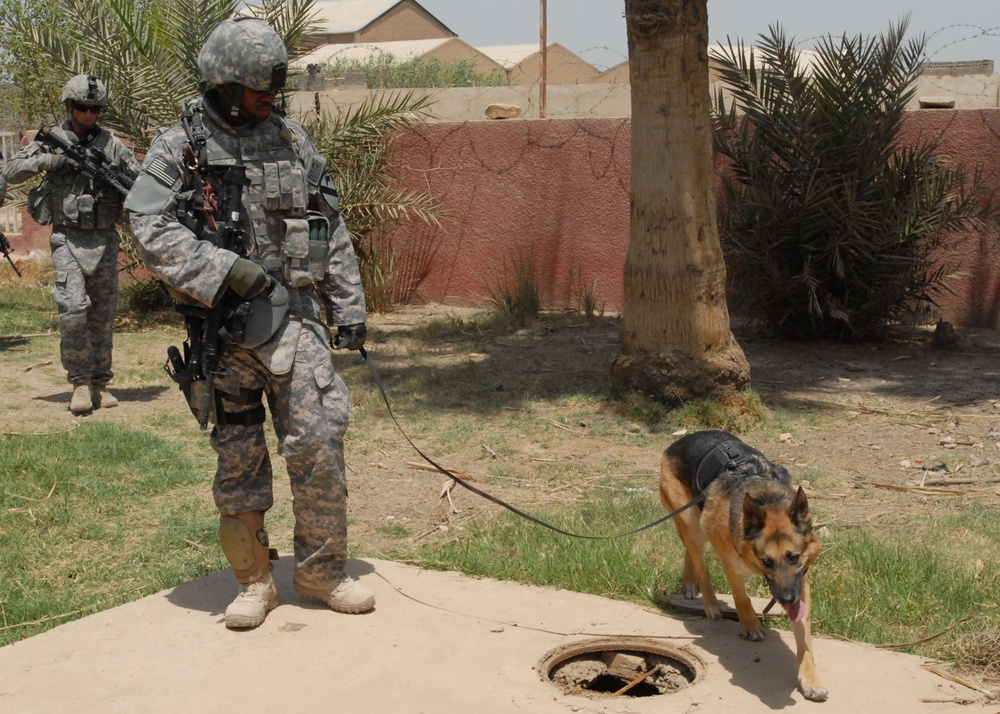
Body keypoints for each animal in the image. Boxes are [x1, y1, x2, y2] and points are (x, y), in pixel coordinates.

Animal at [656, 428, 828, 700]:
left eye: (794, 557)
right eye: (767, 561)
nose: (787, 599)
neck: (766, 496)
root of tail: (682, 439)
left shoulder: (802, 583)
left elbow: (805, 640)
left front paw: (810, 679)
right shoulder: (730, 562)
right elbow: (741, 597)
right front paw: (750, 625)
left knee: (690, 553)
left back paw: (689, 584)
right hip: (690, 521)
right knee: (700, 561)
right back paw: (710, 604)